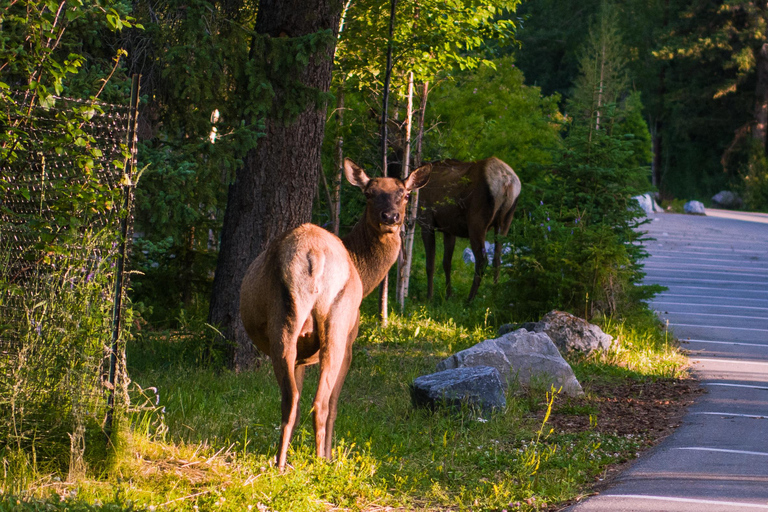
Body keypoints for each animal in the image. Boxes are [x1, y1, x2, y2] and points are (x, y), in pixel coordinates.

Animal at [240, 158, 432, 470]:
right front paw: (329, 455)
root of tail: (314, 255)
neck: (364, 274)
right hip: (338, 325)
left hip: (288, 322)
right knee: (322, 402)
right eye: (369, 193)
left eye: (404, 194)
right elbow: (334, 404)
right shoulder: (351, 342)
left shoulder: (302, 356)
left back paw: (279, 463)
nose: (391, 217)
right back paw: (321, 463)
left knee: (291, 399)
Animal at [420, 156, 520, 300]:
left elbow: (430, 265)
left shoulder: (426, 221)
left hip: (476, 222)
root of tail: (506, 181)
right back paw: (494, 294)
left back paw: (470, 299)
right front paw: (448, 295)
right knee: (497, 259)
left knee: (482, 261)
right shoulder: (449, 229)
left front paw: (429, 297)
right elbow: (446, 263)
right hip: (505, 220)